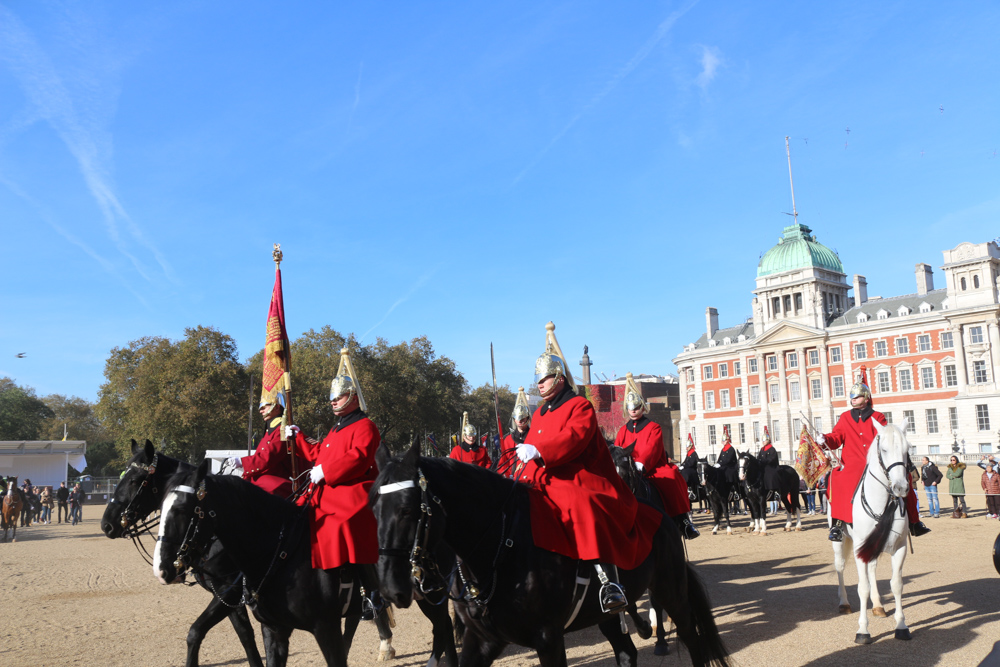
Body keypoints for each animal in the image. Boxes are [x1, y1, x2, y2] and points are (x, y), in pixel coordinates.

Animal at [370, 438, 728, 667]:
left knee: (692, 639)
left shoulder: (548, 638)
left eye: (408, 509)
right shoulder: (482, 640)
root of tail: (659, 513)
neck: (500, 547)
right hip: (604, 614)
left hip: (672, 592)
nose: (390, 588)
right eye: (373, 508)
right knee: (627, 652)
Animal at [828, 420, 916, 644]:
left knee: (873, 569)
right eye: (883, 449)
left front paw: (901, 626)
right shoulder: (859, 548)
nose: (901, 488)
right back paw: (844, 602)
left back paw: (877, 605)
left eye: (907, 449)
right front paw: (863, 630)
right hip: (839, 542)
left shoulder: (899, 547)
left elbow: (896, 584)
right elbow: (863, 587)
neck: (882, 502)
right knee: (840, 567)